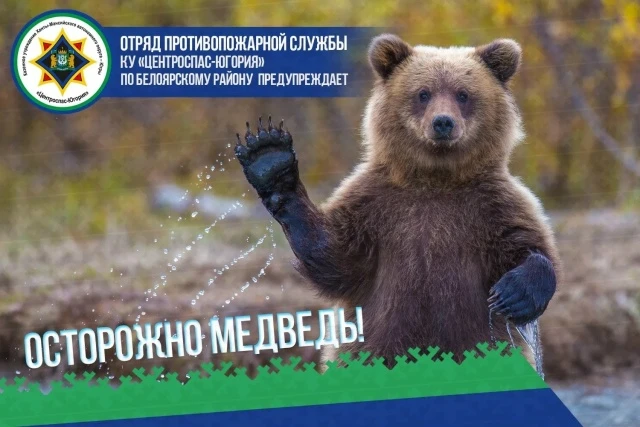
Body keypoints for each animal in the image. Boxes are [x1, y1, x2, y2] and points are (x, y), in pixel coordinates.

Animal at [234, 34, 560, 369]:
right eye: (423, 93)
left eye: (463, 94)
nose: (443, 123)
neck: (435, 179)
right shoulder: (375, 205)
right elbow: (334, 256)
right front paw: (270, 159)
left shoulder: (492, 205)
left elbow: (528, 245)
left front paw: (514, 293)